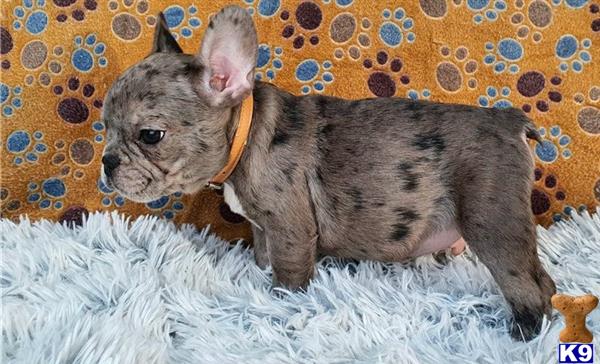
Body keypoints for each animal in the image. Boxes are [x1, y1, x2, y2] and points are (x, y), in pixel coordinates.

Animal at [101, 5, 556, 342]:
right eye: (105, 126)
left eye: (150, 136)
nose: (107, 162)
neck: (246, 135)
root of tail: (510, 121)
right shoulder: (264, 228)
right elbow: (262, 256)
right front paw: (256, 281)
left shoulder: (291, 230)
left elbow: (288, 274)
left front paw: (279, 303)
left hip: (492, 220)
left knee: (528, 284)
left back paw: (523, 332)